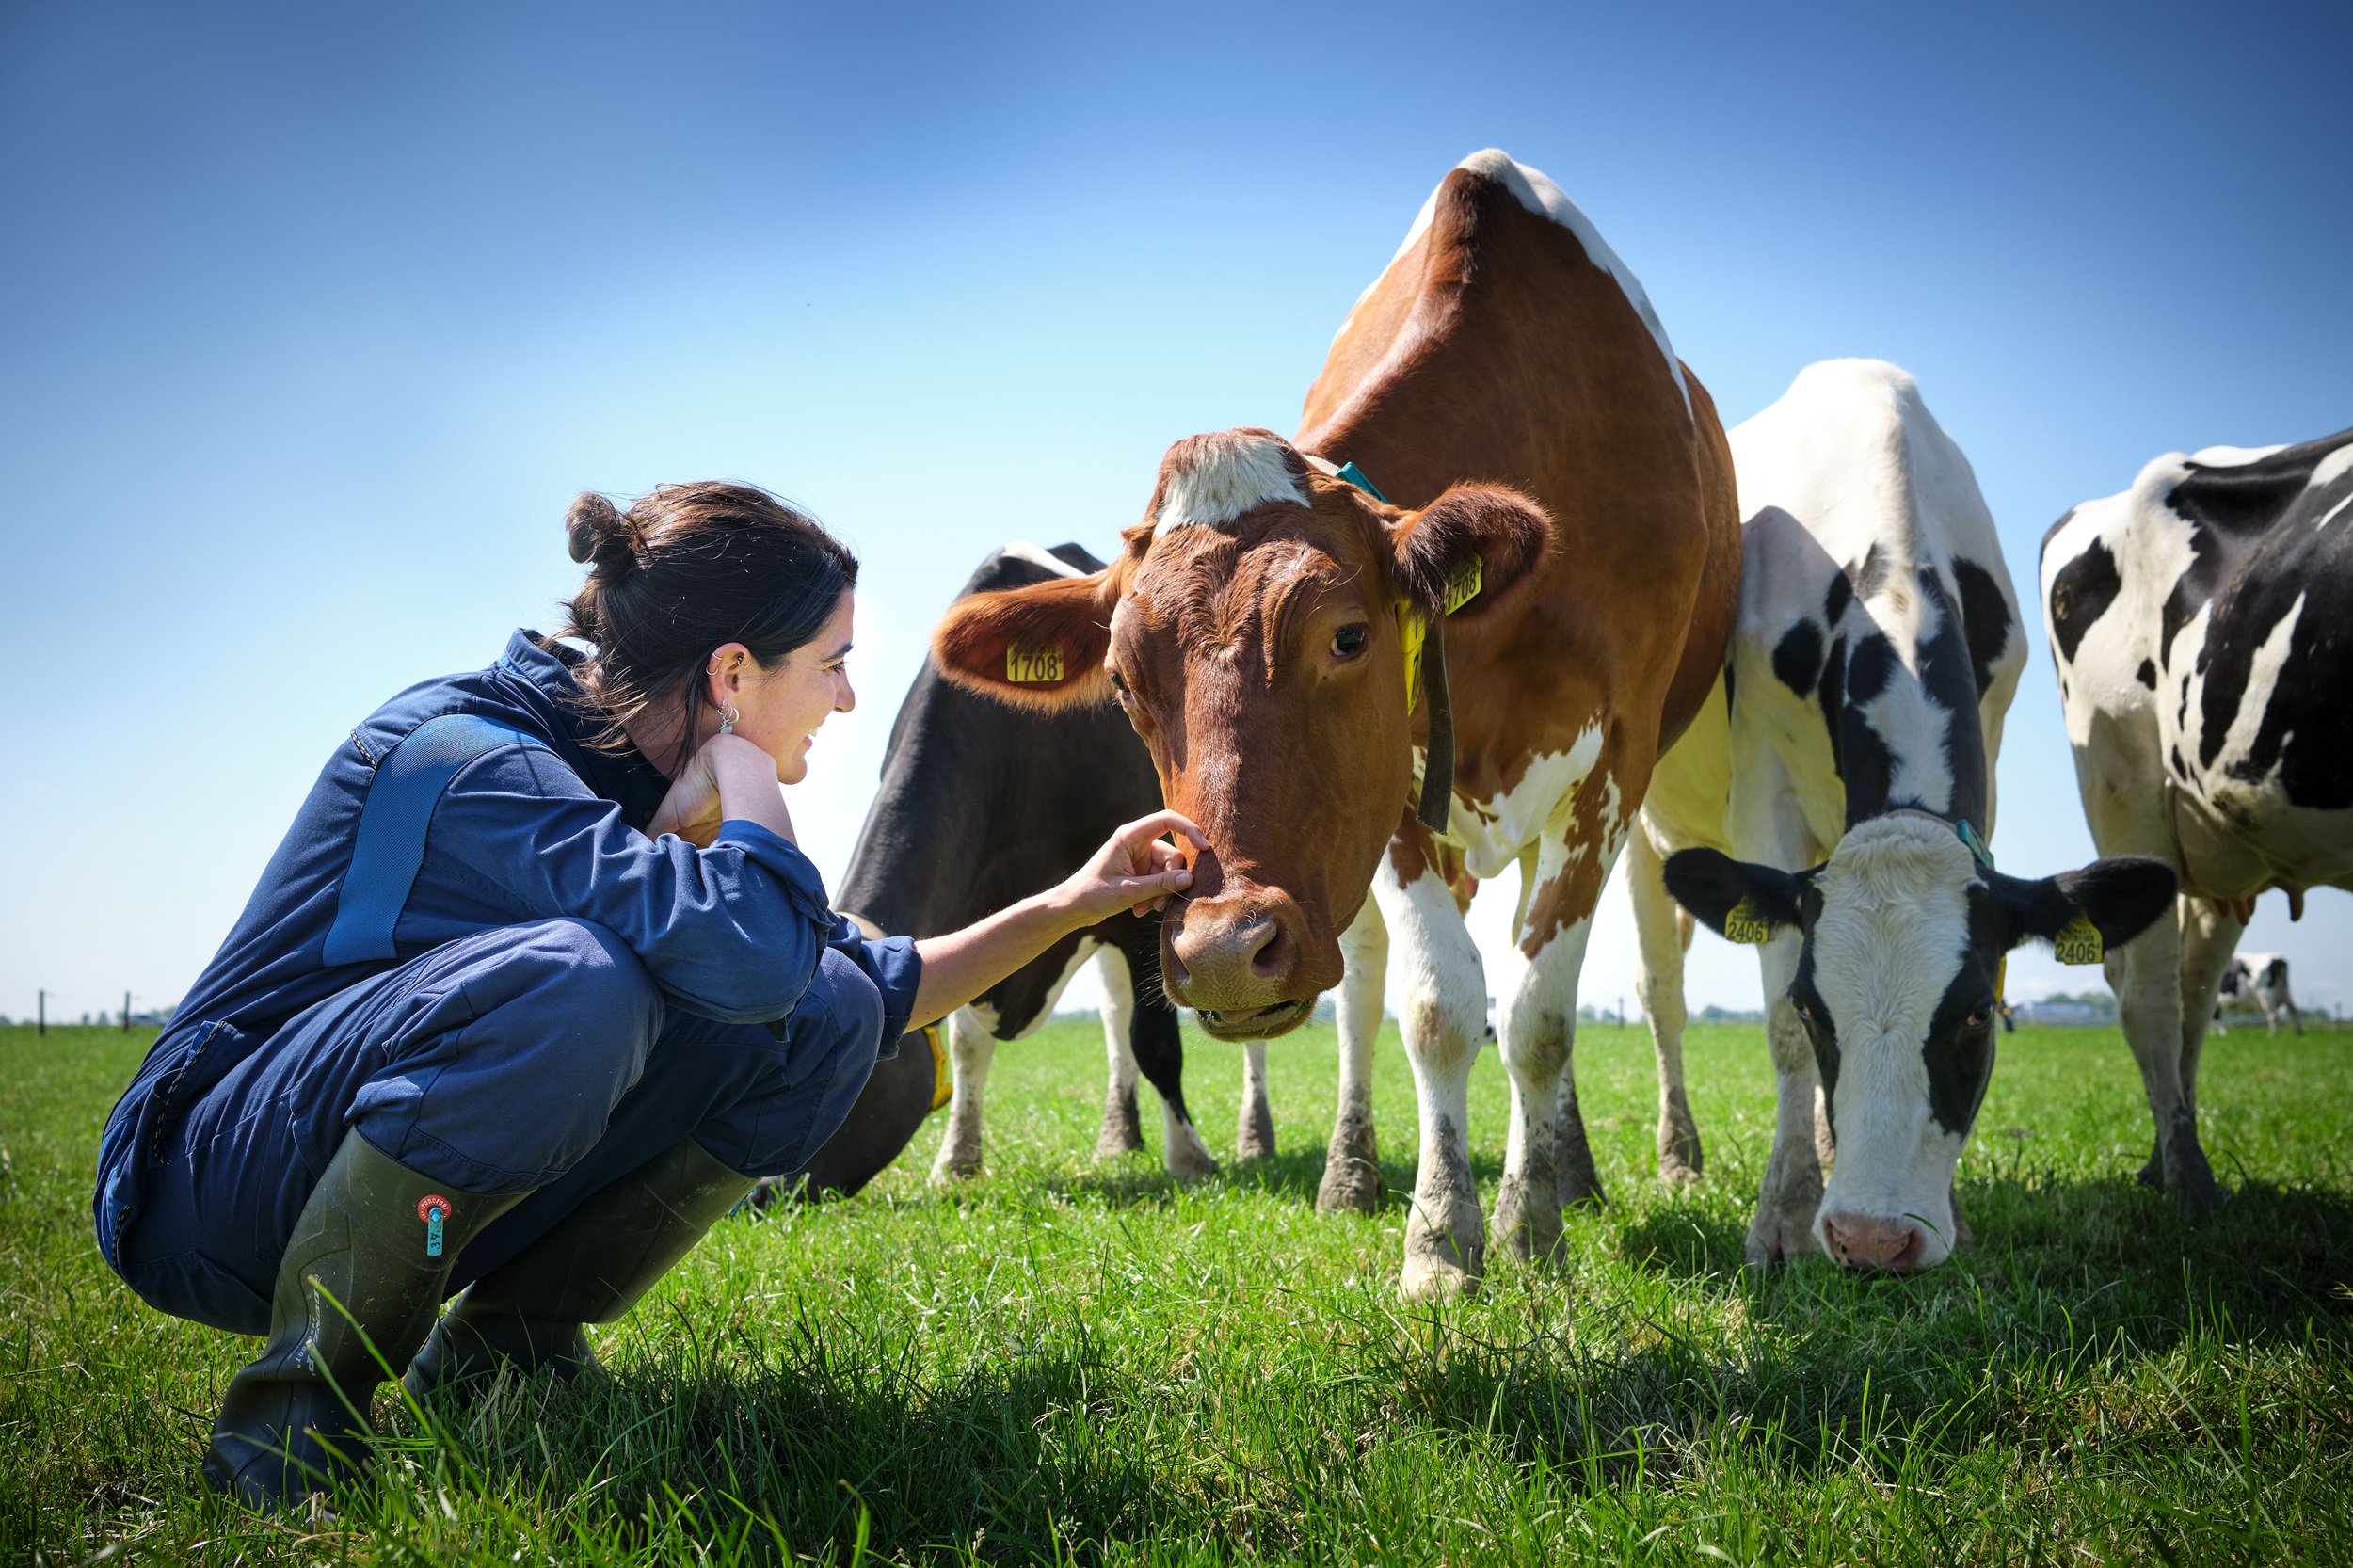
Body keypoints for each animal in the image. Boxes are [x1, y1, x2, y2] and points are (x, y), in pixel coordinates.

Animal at [930, 149, 1744, 1297]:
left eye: (1349, 637)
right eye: (1124, 682)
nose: (1224, 950)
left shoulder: (1614, 766)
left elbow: (1539, 1015)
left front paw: (1529, 1220)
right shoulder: (1393, 796)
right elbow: (1438, 1006)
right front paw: (1439, 1237)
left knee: (1603, 984)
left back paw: (1580, 1168)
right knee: (1367, 992)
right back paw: (1354, 1174)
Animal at [1638, 359, 2173, 1271]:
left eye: (1973, 1015)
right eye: (1815, 1009)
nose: (1871, 1240)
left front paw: (1946, 1210)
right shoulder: (1764, 803)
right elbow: (1777, 1031)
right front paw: (1785, 1215)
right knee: (1662, 992)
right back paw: (1681, 1159)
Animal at [2042, 426, 2353, 1205]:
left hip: (2215, 849)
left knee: (2192, 989)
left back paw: (2166, 1160)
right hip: (2126, 786)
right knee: (2148, 994)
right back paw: (2189, 1182)